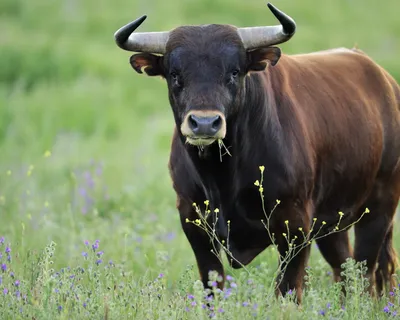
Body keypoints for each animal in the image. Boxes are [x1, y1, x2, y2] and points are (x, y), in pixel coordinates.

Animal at [114, 2, 398, 302]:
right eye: (175, 74)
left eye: (234, 72)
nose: (204, 123)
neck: (222, 177)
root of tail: (385, 81)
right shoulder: (193, 221)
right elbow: (212, 285)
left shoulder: (295, 224)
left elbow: (288, 289)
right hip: (334, 222)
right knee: (345, 269)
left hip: (379, 208)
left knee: (367, 272)